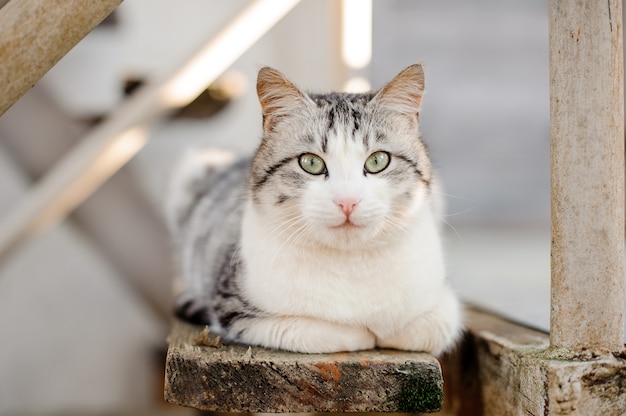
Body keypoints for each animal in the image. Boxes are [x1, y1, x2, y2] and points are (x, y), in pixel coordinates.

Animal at [166, 64, 464, 354]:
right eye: (310, 163)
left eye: (378, 160)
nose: (347, 201)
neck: (350, 264)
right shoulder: (235, 305)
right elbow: (329, 332)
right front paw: (363, 332)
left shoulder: (444, 304)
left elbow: (422, 330)